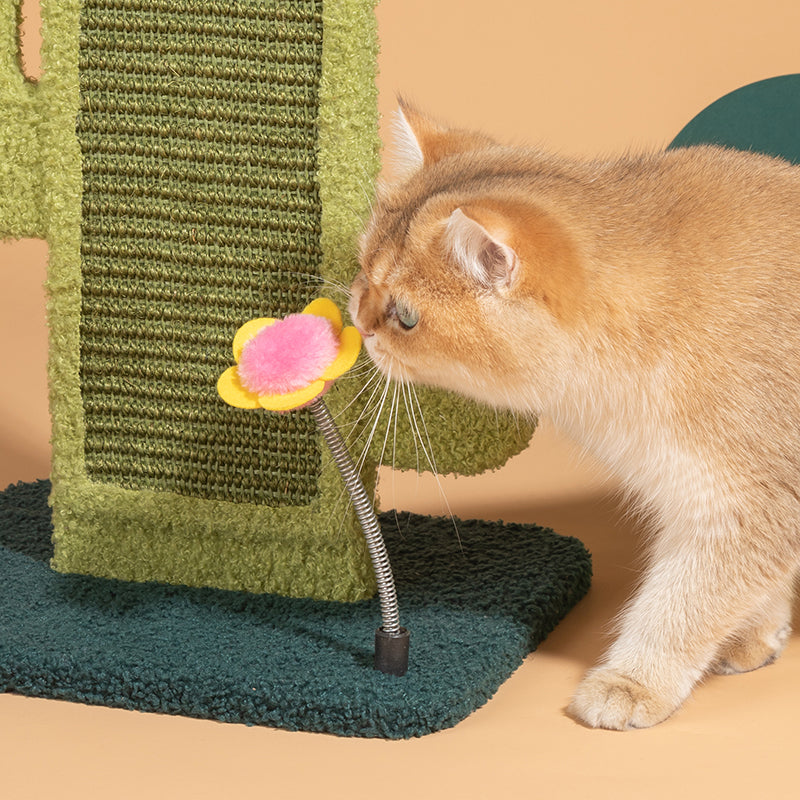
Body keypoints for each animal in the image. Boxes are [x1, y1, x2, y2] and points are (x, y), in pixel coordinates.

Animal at [348, 97, 800, 728]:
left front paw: (633, 682)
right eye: (363, 268)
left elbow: (685, 600)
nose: (357, 319)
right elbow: (762, 577)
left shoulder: (748, 501)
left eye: (406, 317)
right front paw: (754, 636)